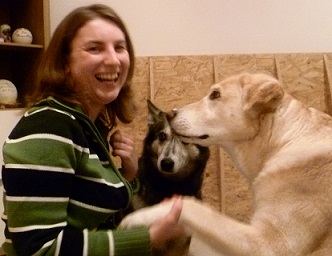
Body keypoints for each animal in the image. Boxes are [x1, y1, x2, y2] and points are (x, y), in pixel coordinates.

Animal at [119, 73, 332, 255]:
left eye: (215, 95)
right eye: (162, 136)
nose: (170, 114)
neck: (282, 141)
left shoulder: (271, 243)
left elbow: (191, 206)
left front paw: (138, 218)